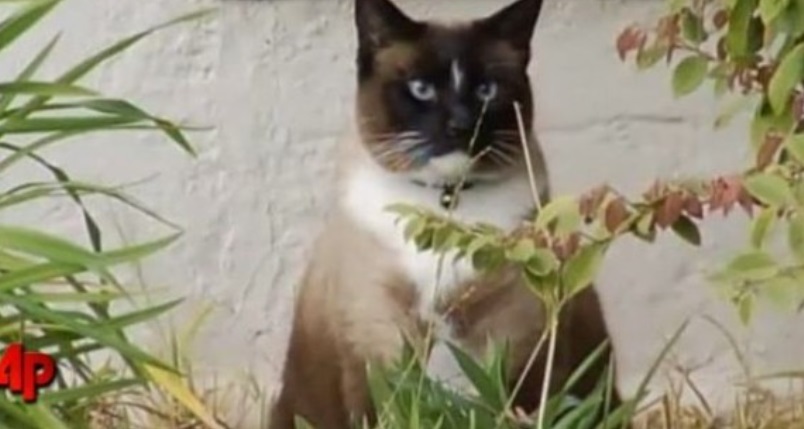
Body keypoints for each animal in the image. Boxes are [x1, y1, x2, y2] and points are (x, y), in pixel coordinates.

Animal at [266, 0, 620, 428]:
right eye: (422, 89)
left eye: (486, 90)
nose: (461, 125)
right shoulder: (378, 347)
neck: (446, 204)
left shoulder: (517, 347)